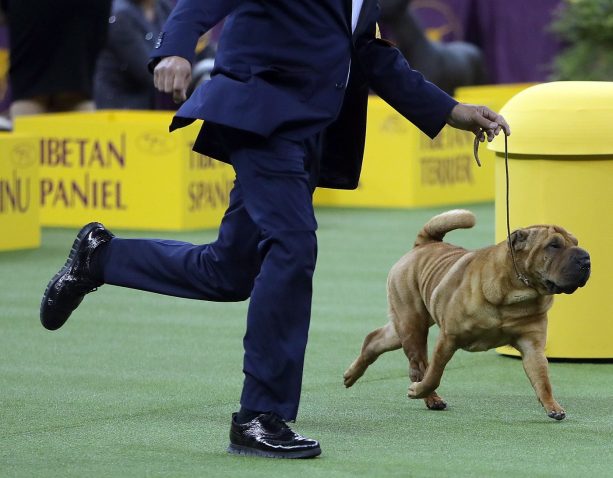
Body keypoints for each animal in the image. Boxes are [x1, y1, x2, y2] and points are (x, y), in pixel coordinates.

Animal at [342, 209, 592, 418]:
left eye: (576, 242)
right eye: (554, 245)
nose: (586, 258)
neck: (516, 293)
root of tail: (422, 245)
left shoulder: (532, 345)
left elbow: (542, 379)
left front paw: (553, 407)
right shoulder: (449, 338)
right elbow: (434, 374)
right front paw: (418, 391)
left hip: (405, 326)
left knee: (375, 340)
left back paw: (350, 376)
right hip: (412, 324)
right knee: (418, 366)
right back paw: (429, 397)